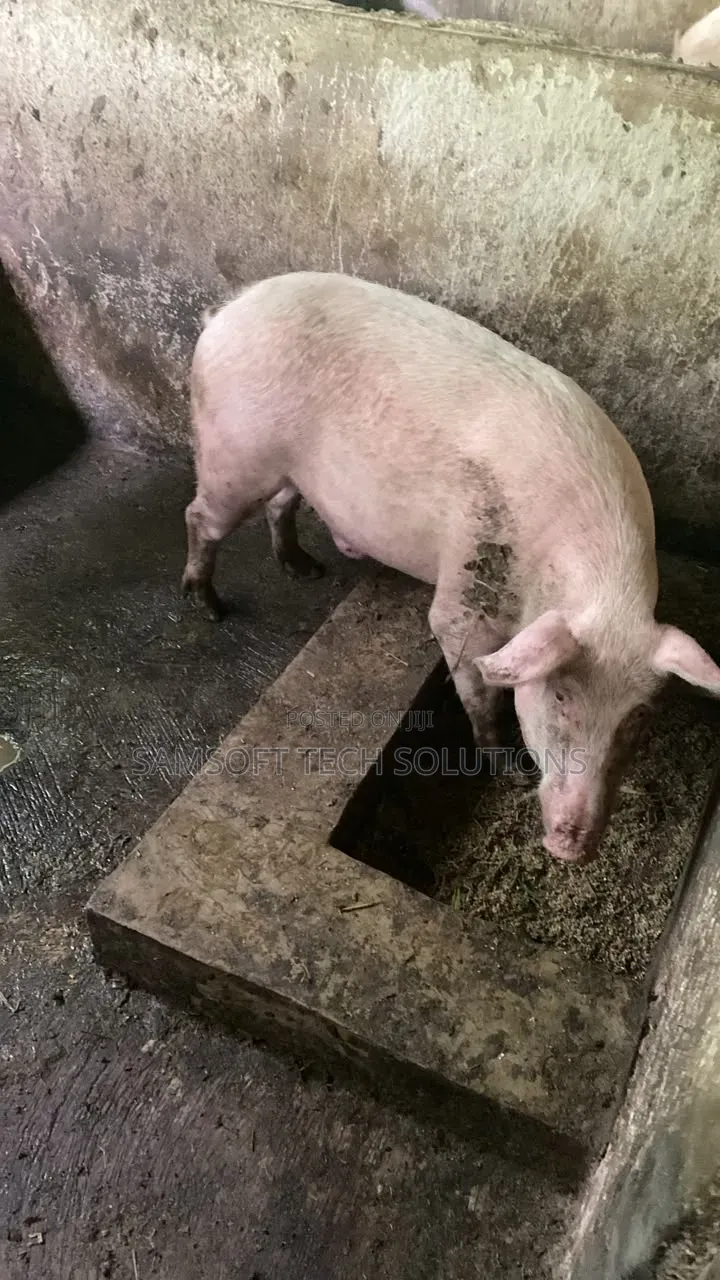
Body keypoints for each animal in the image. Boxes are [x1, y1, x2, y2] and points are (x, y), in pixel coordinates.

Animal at [182, 271, 720, 864]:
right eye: (560, 695)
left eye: (638, 717)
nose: (571, 846)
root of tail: (226, 312)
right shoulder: (469, 590)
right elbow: (474, 682)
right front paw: (502, 765)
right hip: (234, 454)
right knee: (200, 517)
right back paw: (208, 606)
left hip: (281, 469)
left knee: (281, 503)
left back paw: (305, 570)